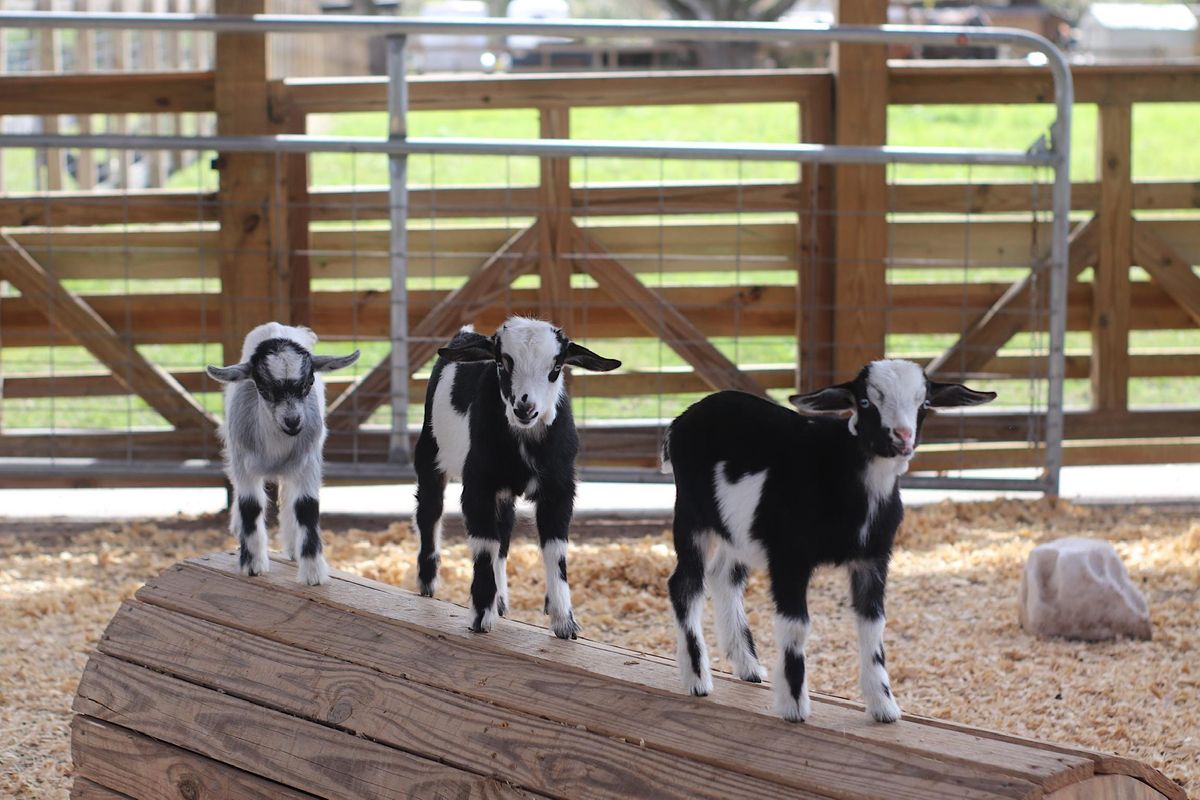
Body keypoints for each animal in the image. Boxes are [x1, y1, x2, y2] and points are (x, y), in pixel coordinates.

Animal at [204, 321, 360, 585]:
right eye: (263, 387)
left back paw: (293, 546)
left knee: (288, 497)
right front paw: (252, 565)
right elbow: (250, 505)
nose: (293, 421)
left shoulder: (308, 462)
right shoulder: (243, 462)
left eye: (308, 383)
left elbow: (306, 507)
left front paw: (313, 573)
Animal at [412, 316, 619, 638]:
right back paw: (427, 584)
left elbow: (555, 549)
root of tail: (466, 334)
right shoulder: (478, 486)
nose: (525, 407)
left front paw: (564, 622)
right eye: (501, 362)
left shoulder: (559, 489)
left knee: (505, 529)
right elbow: (484, 544)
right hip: (429, 451)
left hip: (504, 492)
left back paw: (501, 601)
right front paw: (480, 616)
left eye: (556, 366)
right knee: (429, 510)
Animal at [662, 362, 988, 724]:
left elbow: (873, 625)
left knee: (724, 578)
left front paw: (884, 706)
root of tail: (681, 421)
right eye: (865, 401)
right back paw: (697, 678)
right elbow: (796, 626)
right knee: (686, 584)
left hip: (738, 531)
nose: (902, 437)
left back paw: (747, 666)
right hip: (692, 514)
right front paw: (793, 705)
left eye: (925, 403)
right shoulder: (790, 556)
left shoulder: (873, 559)